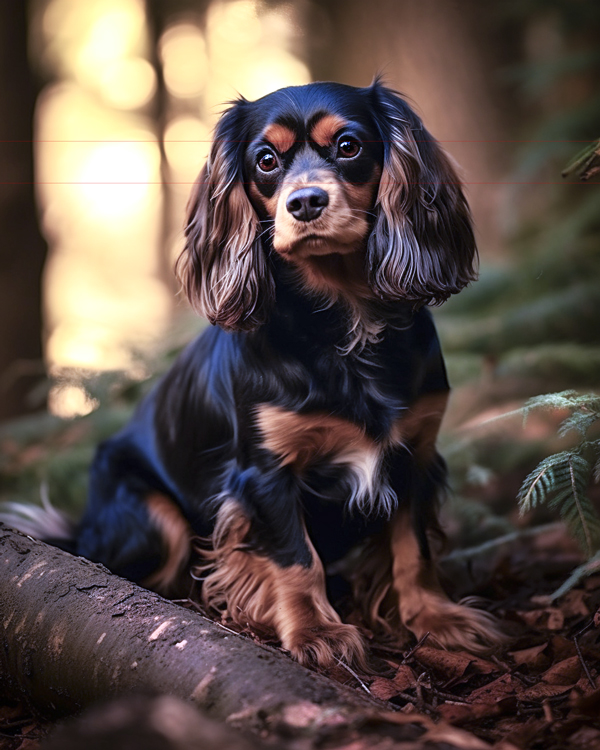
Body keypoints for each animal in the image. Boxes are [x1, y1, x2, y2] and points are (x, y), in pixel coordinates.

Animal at [4, 81, 504, 668]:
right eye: (266, 160)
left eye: (350, 146)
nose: (305, 202)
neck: (345, 324)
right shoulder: (264, 473)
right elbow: (295, 557)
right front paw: (316, 632)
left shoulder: (416, 456)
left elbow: (412, 548)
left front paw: (435, 618)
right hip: (154, 515)